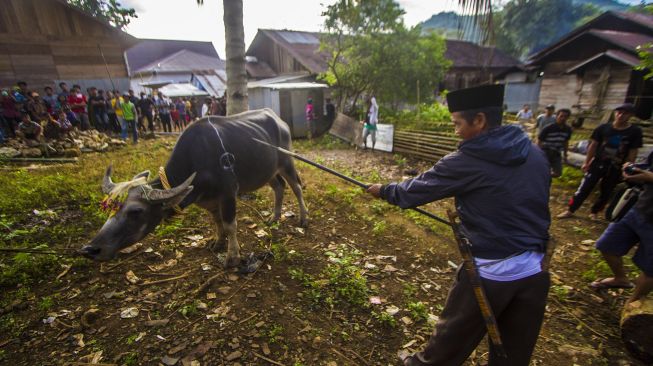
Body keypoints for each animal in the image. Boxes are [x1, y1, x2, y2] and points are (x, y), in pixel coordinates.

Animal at [79, 108, 308, 266]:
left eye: (136, 211)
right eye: (111, 207)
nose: (91, 249)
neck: (197, 160)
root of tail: (279, 120)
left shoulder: (228, 194)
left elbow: (230, 225)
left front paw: (232, 257)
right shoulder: (207, 199)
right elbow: (217, 222)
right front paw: (217, 242)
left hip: (287, 162)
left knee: (296, 187)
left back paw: (304, 218)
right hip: (268, 171)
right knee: (279, 187)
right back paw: (274, 217)